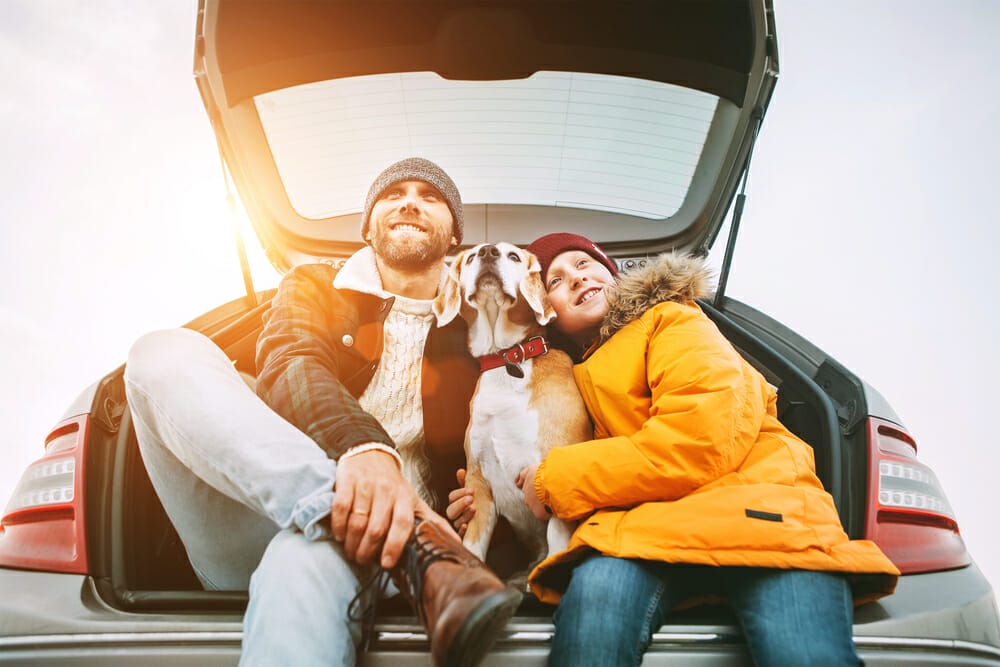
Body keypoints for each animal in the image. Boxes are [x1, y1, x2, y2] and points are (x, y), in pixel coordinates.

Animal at [432, 243, 588, 576]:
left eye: (514, 256)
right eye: (471, 257)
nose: (488, 252)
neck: (507, 359)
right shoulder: (477, 484)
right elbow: (473, 546)